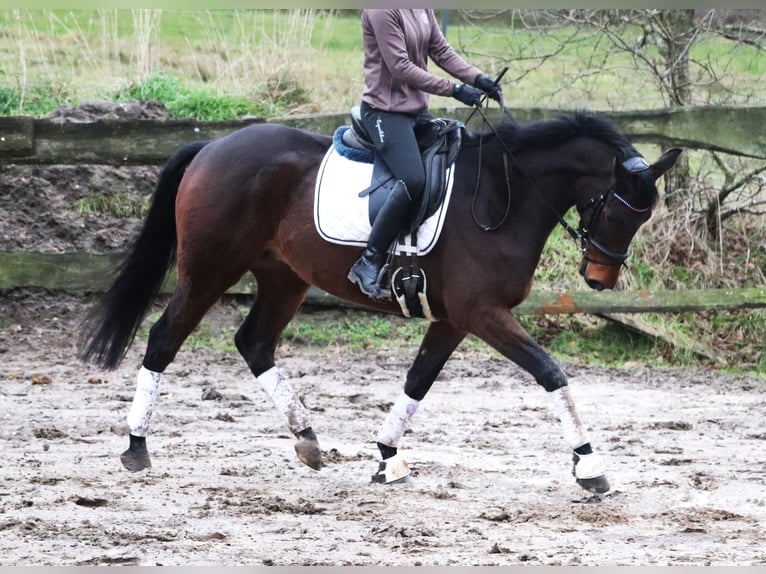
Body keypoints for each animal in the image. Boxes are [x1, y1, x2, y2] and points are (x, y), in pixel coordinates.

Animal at [78, 108, 680, 496]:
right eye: (620, 209)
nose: (600, 277)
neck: (501, 197)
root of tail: (212, 147)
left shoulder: (454, 319)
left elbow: (418, 381)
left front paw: (387, 458)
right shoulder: (483, 314)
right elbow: (550, 372)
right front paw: (590, 467)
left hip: (283, 278)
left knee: (253, 342)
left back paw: (307, 440)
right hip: (209, 271)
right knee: (164, 338)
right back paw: (136, 445)